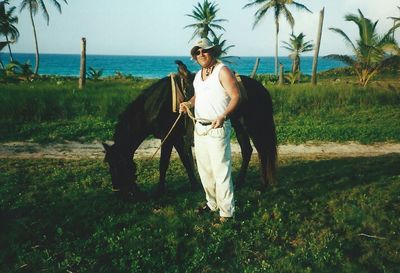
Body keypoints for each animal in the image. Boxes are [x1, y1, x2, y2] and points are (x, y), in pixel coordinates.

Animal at [103, 60, 276, 196]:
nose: (119, 193)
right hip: (239, 126)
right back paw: (239, 183)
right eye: (109, 164)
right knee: (247, 150)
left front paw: (159, 191)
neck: (155, 106)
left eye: (117, 164)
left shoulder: (167, 137)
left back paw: (263, 185)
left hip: (254, 127)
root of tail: (261, 89)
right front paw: (194, 185)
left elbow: (163, 163)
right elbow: (185, 160)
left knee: (262, 151)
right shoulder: (176, 138)